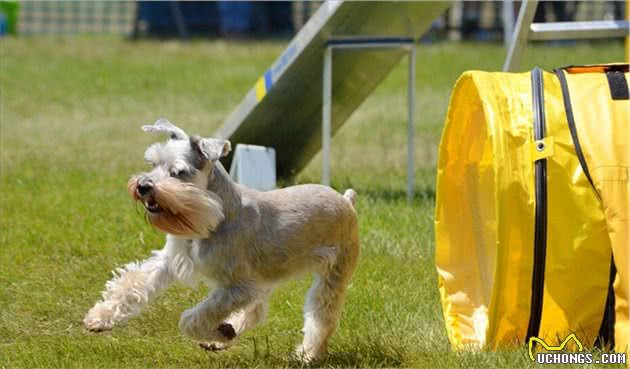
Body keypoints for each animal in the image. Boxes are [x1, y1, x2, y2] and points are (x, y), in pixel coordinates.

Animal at [84, 119, 360, 360]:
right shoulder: (171, 261)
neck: (213, 216)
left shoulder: (237, 287)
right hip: (266, 277)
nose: (142, 186)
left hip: (332, 277)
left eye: (178, 172)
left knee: (321, 318)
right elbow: (133, 283)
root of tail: (346, 200)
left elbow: (192, 319)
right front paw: (99, 317)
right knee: (256, 311)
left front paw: (218, 331)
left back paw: (307, 354)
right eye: (152, 163)